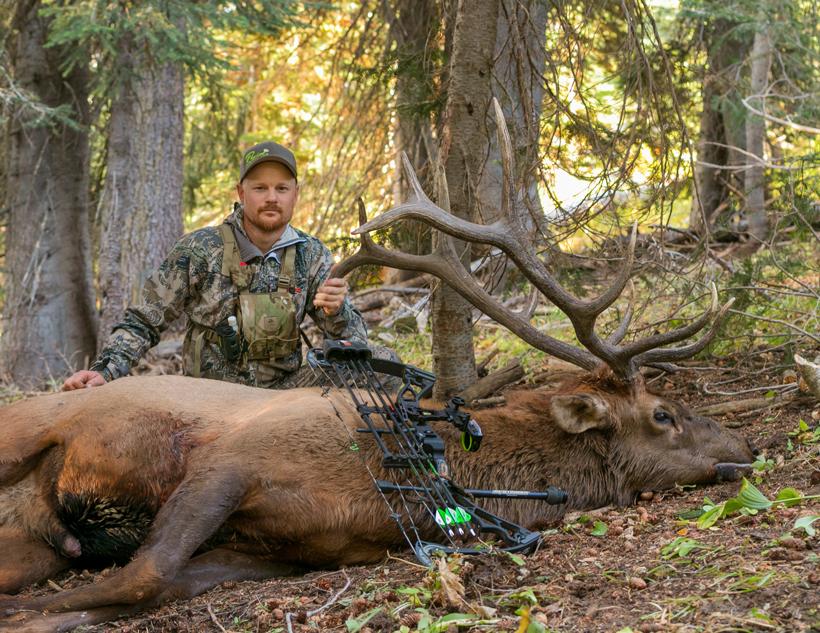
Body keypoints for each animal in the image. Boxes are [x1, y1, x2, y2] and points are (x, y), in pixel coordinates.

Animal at [0, 102, 756, 632]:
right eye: (664, 414)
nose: (746, 445)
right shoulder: (229, 459)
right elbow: (140, 575)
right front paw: (27, 615)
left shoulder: (288, 551)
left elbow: (141, 586)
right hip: (30, 428)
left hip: (39, 534)